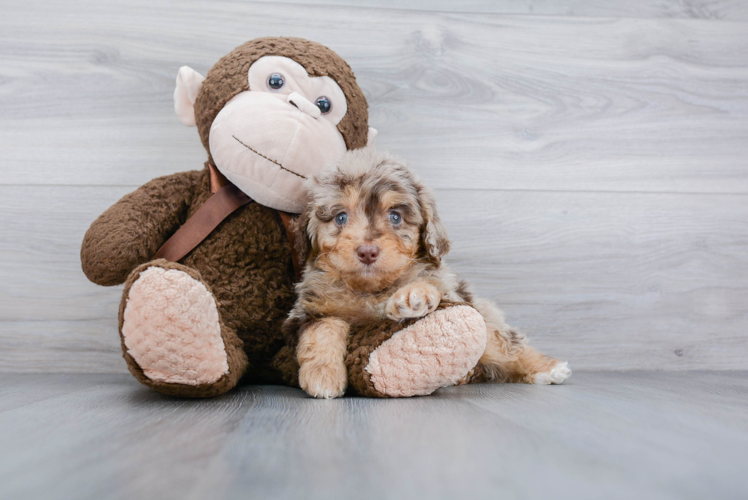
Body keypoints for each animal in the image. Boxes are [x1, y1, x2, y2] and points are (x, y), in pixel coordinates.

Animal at [284, 148, 568, 398]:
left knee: (505, 345)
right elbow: (322, 329)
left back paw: (548, 368)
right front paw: (323, 376)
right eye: (340, 217)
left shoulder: (447, 289)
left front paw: (413, 296)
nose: (367, 251)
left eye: (395, 217)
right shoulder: (309, 310)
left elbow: (426, 283)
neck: (370, 290)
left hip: (482, 314)